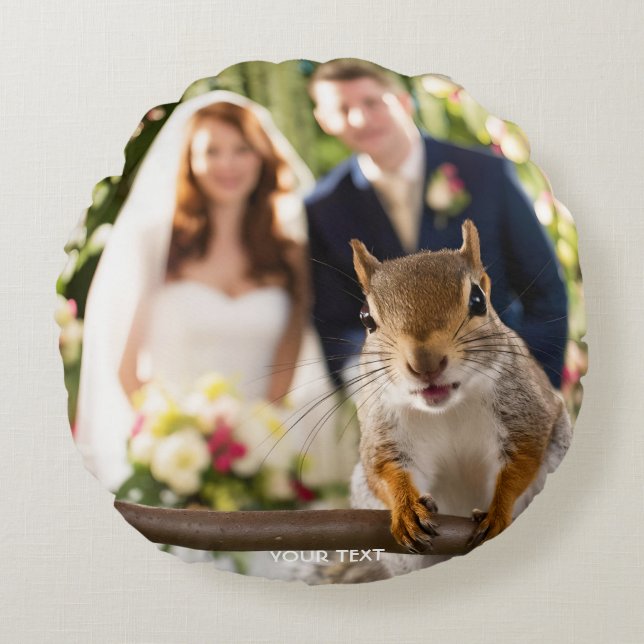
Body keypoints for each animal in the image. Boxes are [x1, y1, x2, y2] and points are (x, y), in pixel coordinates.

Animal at [347, 219, 572, 577]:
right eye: (365, 318)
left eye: (478, 300)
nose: (424, 363)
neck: (447, 408)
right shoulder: (382, 423)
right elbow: (382, 468)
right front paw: (407, 508)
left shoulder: (526, 409)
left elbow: (524, 456)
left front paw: (498, 511)